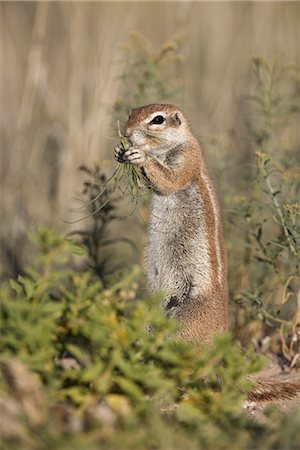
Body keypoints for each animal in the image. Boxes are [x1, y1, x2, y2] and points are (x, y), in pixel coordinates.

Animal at [114, 104, 227, 344]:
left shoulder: (188, 157)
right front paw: (119, 150)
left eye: (157, 120)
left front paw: (141, 156)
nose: (126, 133)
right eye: (131, 113)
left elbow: (170, 179)